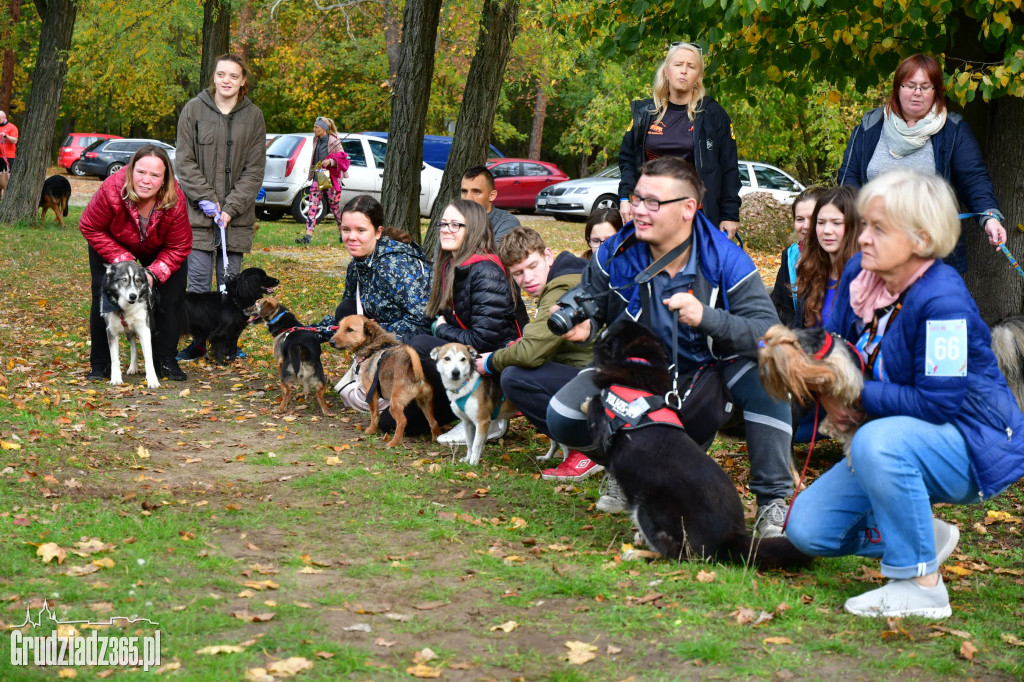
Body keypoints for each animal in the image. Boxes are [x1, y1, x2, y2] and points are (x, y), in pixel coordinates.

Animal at [327, 315, 440, 446]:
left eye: (349, 330)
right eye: (339, 327)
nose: (331, 342)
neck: (373, 348)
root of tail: (417, 374)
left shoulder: (371, 393)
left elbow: (374, 415)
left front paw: (372, 430)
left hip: (395, 404)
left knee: (402, 421)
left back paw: (394, 443)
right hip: (425, 403)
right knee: (434, 422)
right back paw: (436, 439)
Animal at [589, 319, 811, 569]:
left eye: (608, 333)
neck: (639, 365)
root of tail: (730, 540)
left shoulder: (600, 424)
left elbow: (590, 404)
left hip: (649, 508)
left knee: (679, 554)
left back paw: (637, 553)